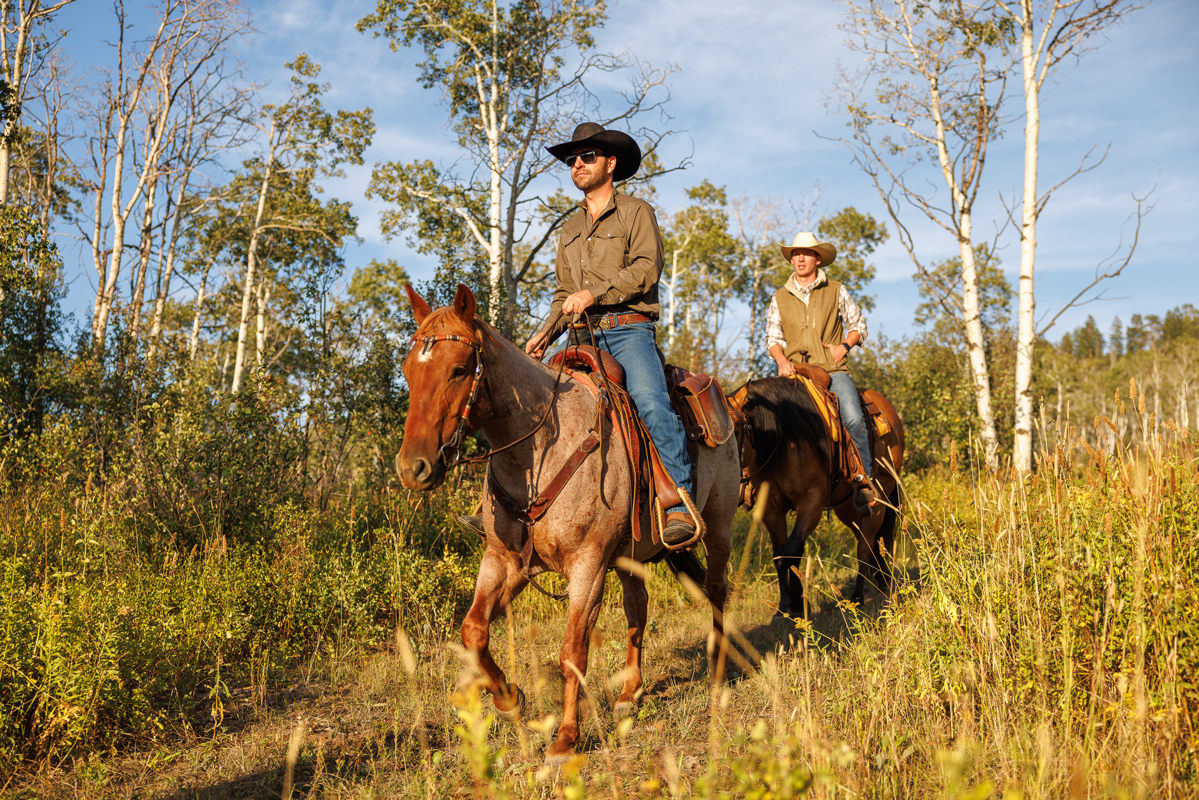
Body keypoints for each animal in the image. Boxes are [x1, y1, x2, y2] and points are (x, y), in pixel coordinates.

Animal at [398, 284, 743, 767]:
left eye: (459, 370)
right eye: (409, 371)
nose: (413, 468)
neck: (540, 450)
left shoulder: (588, 566)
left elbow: (572, 651)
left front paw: (564, 739)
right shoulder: (505, 561)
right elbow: (473, 631)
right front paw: (510, 699)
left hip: (719, 525)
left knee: (715, 590)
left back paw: (715, 669)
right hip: (630, 554)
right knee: (638, 608)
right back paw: (630, 693)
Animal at [724, 379, 901, 618]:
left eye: (736, 430)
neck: (783, 441)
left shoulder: (812, 501)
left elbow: (793, 550)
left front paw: (796, 600)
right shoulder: (771, 508)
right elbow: (779, 556)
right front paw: (784, 607)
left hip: (881, 497)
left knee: (865, 545)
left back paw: (858, 597)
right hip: (848, 508)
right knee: (870, 541)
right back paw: (882, 582)